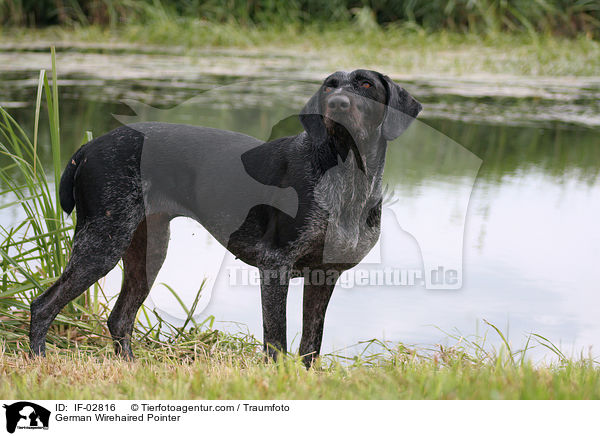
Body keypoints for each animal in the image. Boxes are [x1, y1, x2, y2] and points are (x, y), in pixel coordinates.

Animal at [29, 70, 422, 366]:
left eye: (366, 85)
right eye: (329, 86)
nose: (338, 105)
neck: (348, 175)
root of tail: (88, 147)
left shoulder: (323, 276)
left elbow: (311, 345)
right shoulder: (275, 265)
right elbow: (276, 339)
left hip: (146, 251)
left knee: (119, 318)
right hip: (102, 244)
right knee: (43, 305)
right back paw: (39, 361)